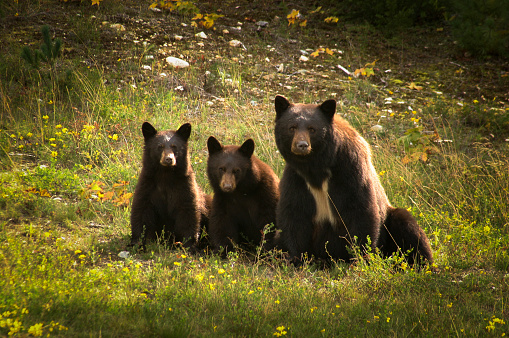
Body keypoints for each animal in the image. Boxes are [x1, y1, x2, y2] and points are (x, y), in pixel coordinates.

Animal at [274, 94, 432, 264]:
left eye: (312, 129)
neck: (317, 168)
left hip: (391, 219)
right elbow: (294, 214)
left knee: (409, 229)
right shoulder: (297, 179)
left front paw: (359, 259)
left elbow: (362, 212)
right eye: (292, 127)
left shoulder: (351, 171)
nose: (301, 145)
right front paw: (294, 258)